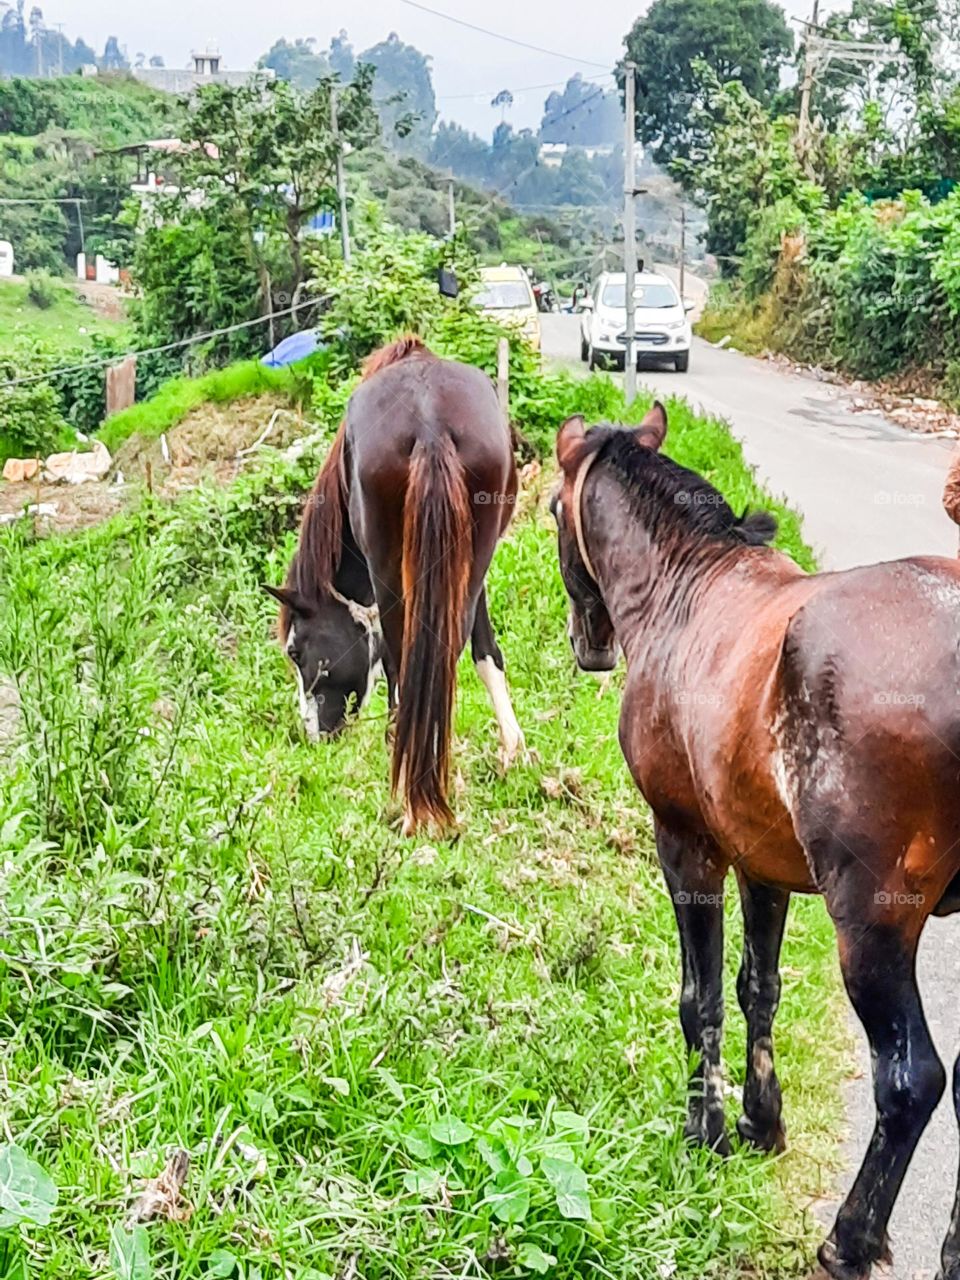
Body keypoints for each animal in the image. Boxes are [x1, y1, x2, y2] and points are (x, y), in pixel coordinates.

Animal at [265, 336, 524, 834]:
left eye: (295, 652)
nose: (312, 735)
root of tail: (429, 425)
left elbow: (387, 656)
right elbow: (486, 650)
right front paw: (512, 748)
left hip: (389, 569)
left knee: (406, 653)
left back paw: (410, 788)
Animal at [552, 402, 960, 1280]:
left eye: (551, 513)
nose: (588, 645)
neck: (686, 587)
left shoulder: (687, 845)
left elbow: (699, 995)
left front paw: (704, 1131)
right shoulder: (760, 863)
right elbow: (757, 988)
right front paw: (760, 1122)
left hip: (873, 925)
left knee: (909, 1080)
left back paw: (849, 1240)